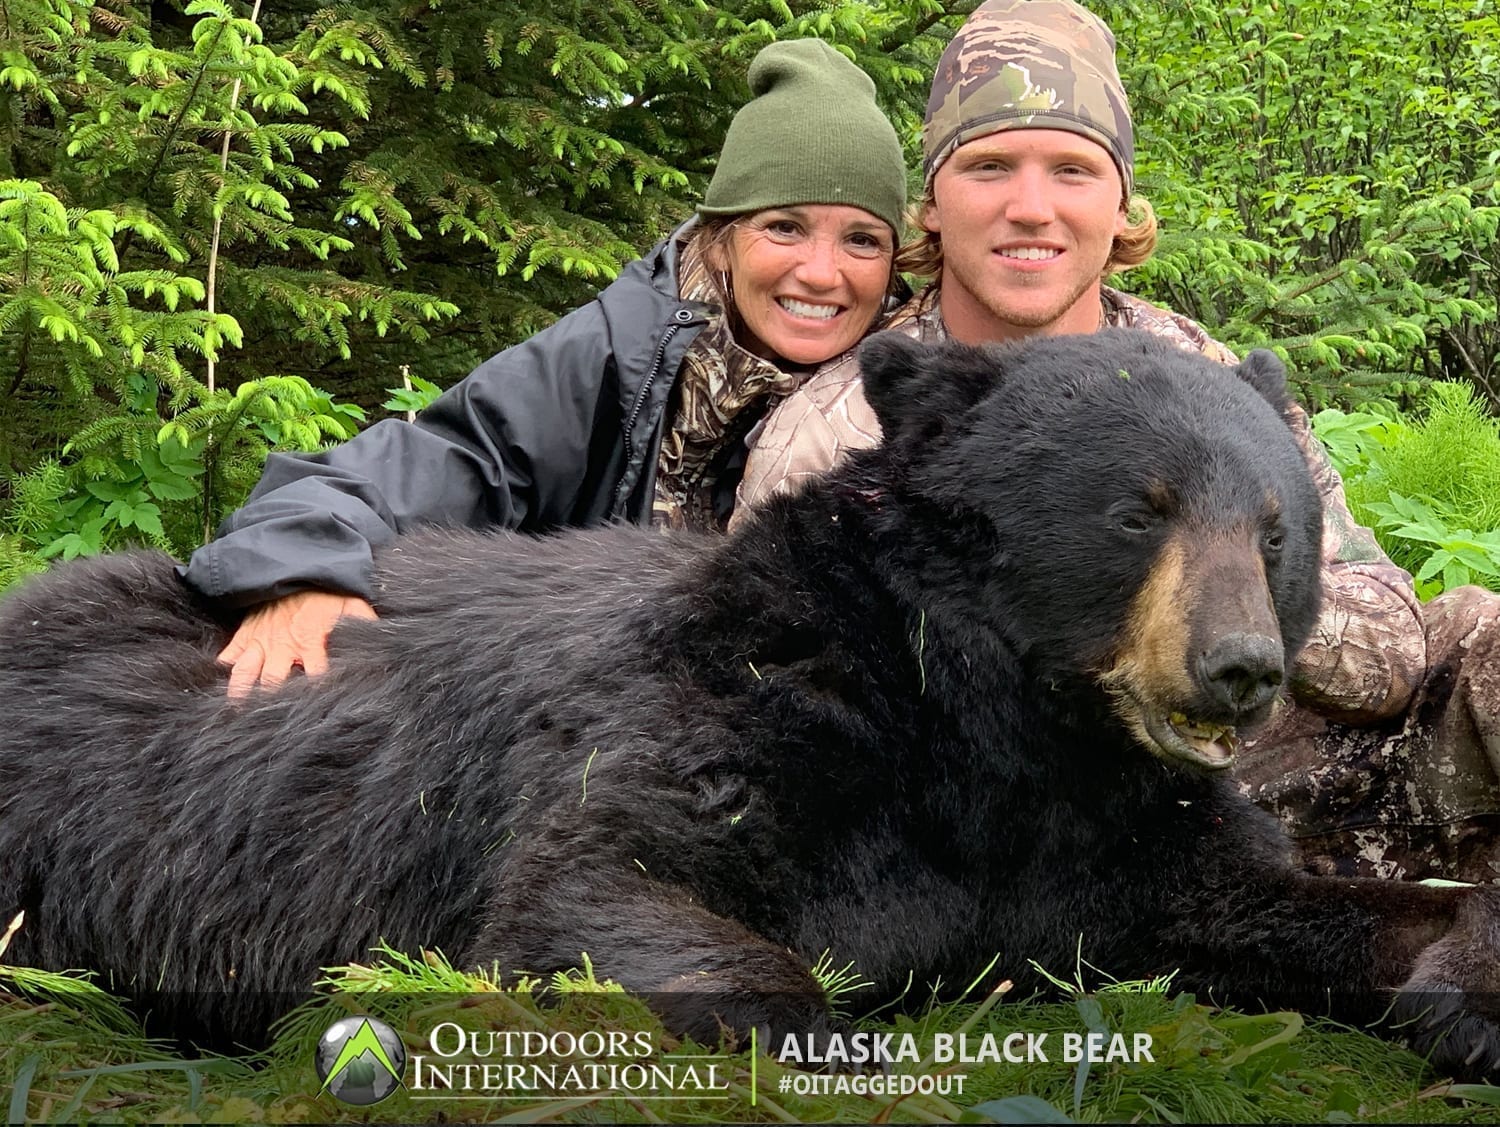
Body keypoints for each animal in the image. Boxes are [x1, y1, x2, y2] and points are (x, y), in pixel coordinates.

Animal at [2, 330, 1500, 1080]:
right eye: (1141, 509)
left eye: (1274, 525)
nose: (1239, 666)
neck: (993, 728)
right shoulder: (740, 703)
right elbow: (589, 884)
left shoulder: (1113, 828)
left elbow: (1266, 897)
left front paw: (1456, 989)